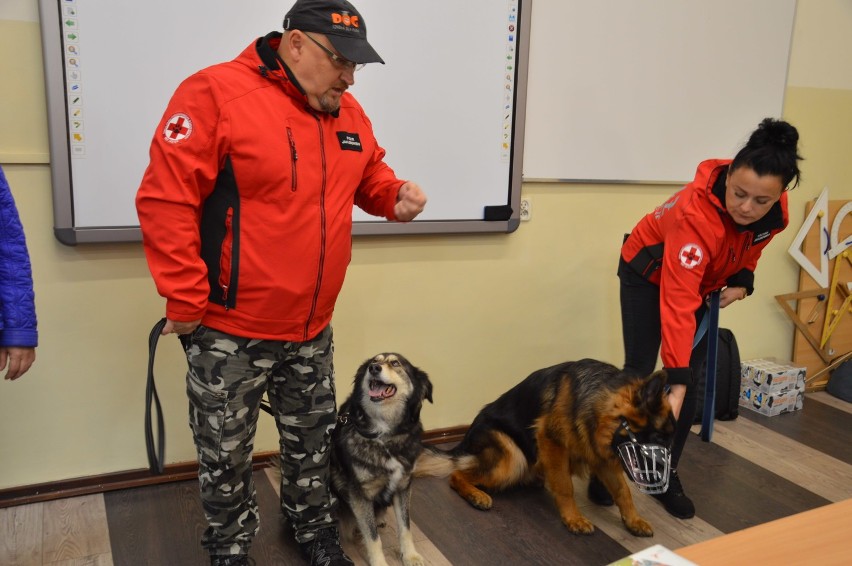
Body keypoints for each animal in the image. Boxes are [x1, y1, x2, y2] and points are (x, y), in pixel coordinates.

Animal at [328, 356, 432, 566]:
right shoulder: (361, 494)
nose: (373, 368)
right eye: (373, 361)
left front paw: (410, 556)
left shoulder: (403, 485)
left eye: (395, 363)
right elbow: (373, 537)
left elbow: (405, 527)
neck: (385, 436)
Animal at [412, 362, 672, 540]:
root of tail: (465, 441)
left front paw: (633, 520)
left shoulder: (603, 456)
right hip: (513, 458)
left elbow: (623, 491)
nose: (667, 480)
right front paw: (573, 518)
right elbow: (565, 487)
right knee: (456, 475)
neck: (598, 402)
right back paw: (477, 495)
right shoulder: (552, 441)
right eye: (658, 438)